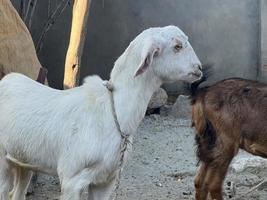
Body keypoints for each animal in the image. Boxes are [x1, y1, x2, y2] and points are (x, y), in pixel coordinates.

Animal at [0, 25, 202, 199]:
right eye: (177, 46)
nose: (199, 69)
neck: (114, 113)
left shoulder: (105, 179)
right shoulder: (72, 179)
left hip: (23, 159)